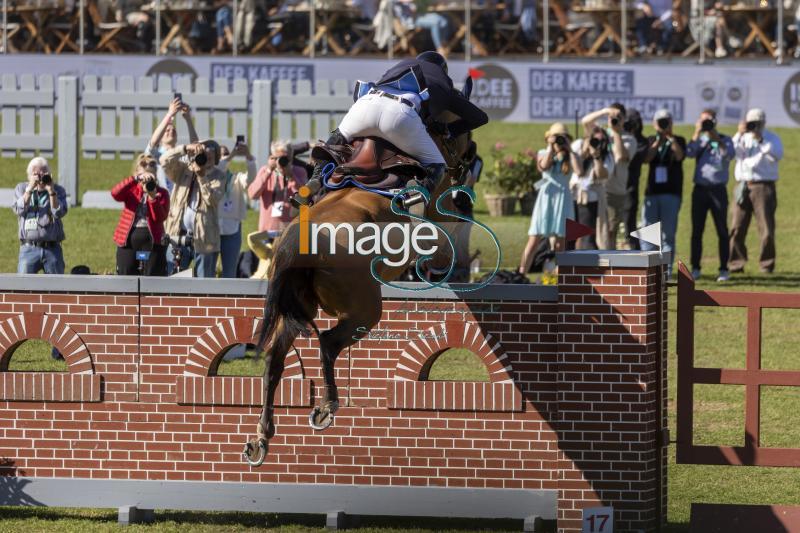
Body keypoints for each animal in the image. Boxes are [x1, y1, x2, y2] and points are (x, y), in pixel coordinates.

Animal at [242, 106, 482, 464]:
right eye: (464, 136)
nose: (470, 160)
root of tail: (296, 243)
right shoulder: (440, 214)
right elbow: (447, 231)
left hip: (297, 309)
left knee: (274, 360)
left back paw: (262, 437)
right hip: (365, 310)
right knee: (328, 343)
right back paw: (327, 407)